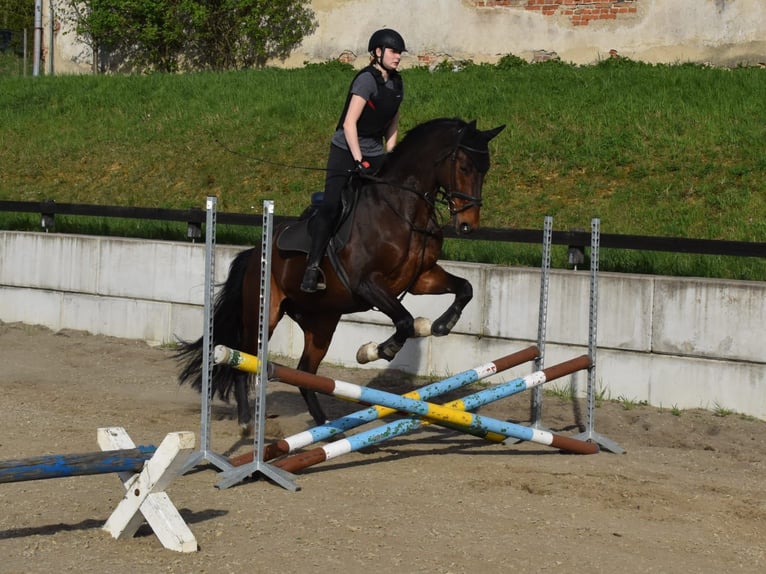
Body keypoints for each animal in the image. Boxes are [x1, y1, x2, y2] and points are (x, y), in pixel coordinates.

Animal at [177, 117, 508, 432]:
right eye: (464, 166)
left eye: (486, 169)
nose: (468, 225)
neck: (402, 210)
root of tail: (253, 253)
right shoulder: (367, 284)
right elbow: (404, 321)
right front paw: (375, 350)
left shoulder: (421, 278)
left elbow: (465, 288)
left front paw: (440, 324)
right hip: (264, 313)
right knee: (244, 359)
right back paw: (247, 422)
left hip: (321, 322)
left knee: (305, 372)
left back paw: (325, 426)